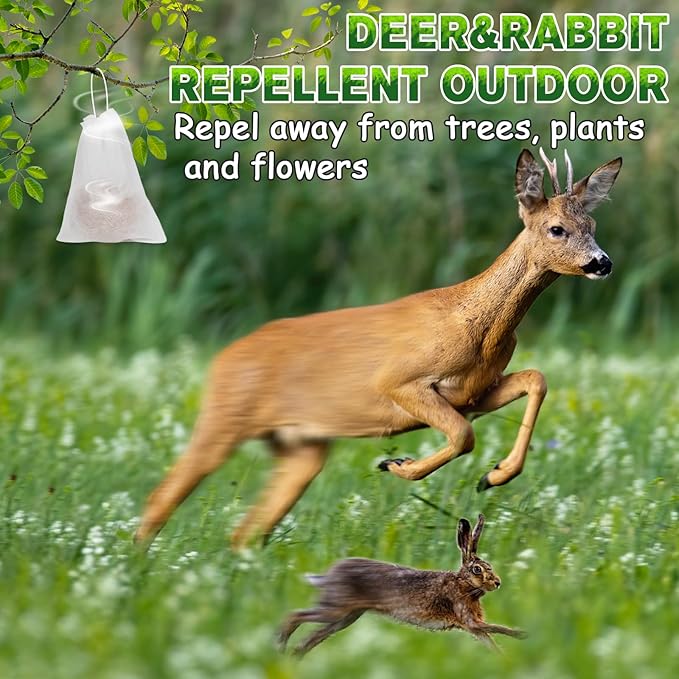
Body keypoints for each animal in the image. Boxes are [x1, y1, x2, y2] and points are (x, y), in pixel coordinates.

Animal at [135, 148, 622, 549]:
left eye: (593, 225)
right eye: (556, 229)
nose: (602, 263)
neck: (478, 326)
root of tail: (222, 357)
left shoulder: (475, 393)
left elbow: (536, 379)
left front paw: (494, 475)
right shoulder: (399, 381)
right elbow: (463, 435)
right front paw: (398, 465)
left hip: (301, 447)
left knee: (246, 531)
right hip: (225, 416)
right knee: (162, 497)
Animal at [279, 514, 525, 656]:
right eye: (477, 569)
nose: (498, 583)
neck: (463, 584)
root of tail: (327, 576)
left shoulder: (472, 626)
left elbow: (491, 641)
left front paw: (504, 658)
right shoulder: (468, 619)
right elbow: (496, 628)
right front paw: (523, 635)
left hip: (347, 617)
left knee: (310, 639)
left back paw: (292, 657)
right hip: (335, 609)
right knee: (295, 615)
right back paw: (280, 647)